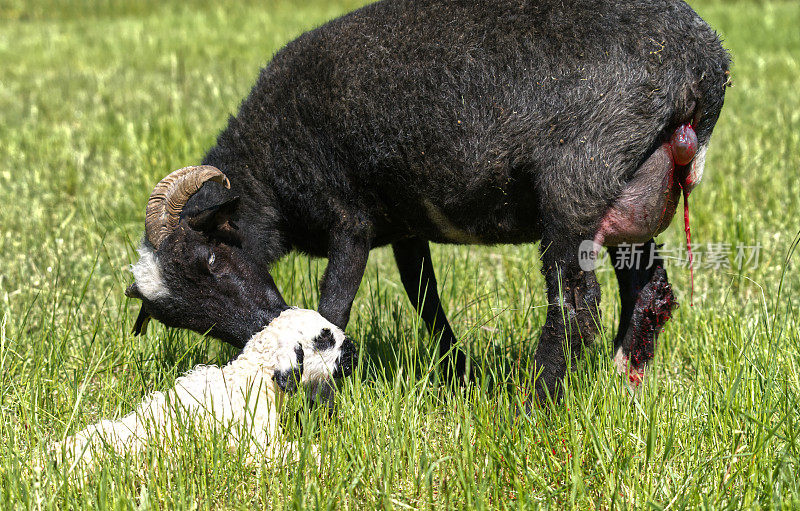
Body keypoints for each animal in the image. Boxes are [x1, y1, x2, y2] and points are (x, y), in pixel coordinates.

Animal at [50, 308, 356, 468]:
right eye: (325, 338)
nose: (354, 351)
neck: (250, 377)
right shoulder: (255, 445)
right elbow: (301, 452)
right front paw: (331, 456)